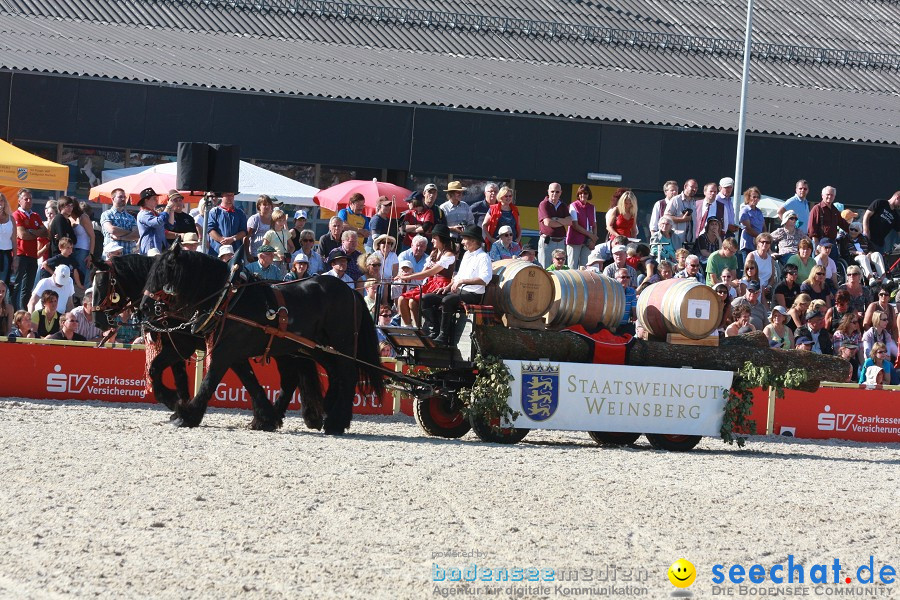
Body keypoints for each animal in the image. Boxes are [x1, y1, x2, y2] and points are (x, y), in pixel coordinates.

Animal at [92, 252, 278, 426]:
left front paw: (174, 402)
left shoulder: (182, 346)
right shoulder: (175, 346)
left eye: (101, 284)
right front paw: (179, 406)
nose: (97, 321)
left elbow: (157, 370)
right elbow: (175, 376)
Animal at [141, 244, 384, 436]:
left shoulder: (223, 351)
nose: (144, 307)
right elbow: (250, 382)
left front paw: (186, 415)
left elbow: (209, 381)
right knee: (330, 374)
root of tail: (351, 292)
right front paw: (266, 418)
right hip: (314, 347)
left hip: (342, 344)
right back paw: (325, 412)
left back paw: (335, 421)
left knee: (347, 375)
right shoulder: (229, 353)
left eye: (163, 273)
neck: (228, 299)